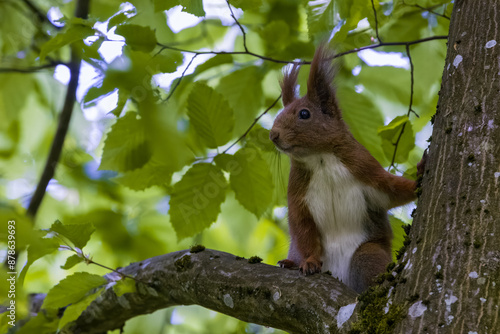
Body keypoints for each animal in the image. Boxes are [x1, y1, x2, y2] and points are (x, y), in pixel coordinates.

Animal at [270, 45, 422, 292]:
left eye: (304, 114)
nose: (273, 135)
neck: (321, 158)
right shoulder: (297, 193)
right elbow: (302, 226)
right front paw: (310, 261)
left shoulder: (363, 166)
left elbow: (392, 190)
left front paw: (420, 173)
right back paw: (291, 263)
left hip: (367, 254)